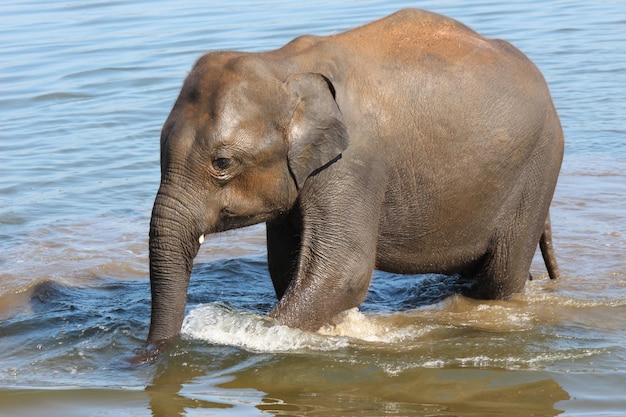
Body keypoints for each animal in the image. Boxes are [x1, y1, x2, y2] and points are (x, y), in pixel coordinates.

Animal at [144, 8, 564, 352]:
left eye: (222, 162)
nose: (153, 351)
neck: (282, 65)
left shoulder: (355, 161)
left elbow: (343, 273)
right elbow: (284, 265)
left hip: (539, 166)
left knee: (501, 277)